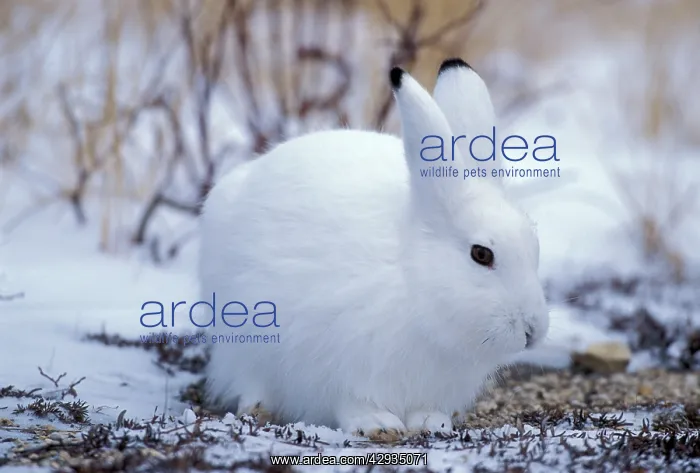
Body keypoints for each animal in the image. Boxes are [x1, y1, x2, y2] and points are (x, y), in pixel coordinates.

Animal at [200, 58, 550, 440]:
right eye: (481, 254)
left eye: (534, 245)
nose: (533, 331)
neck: (415, 282)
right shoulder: (334, 361)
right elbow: (351, 401)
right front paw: (378, 425)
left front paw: (432, 423)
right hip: (241, 334)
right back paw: (258, 408)